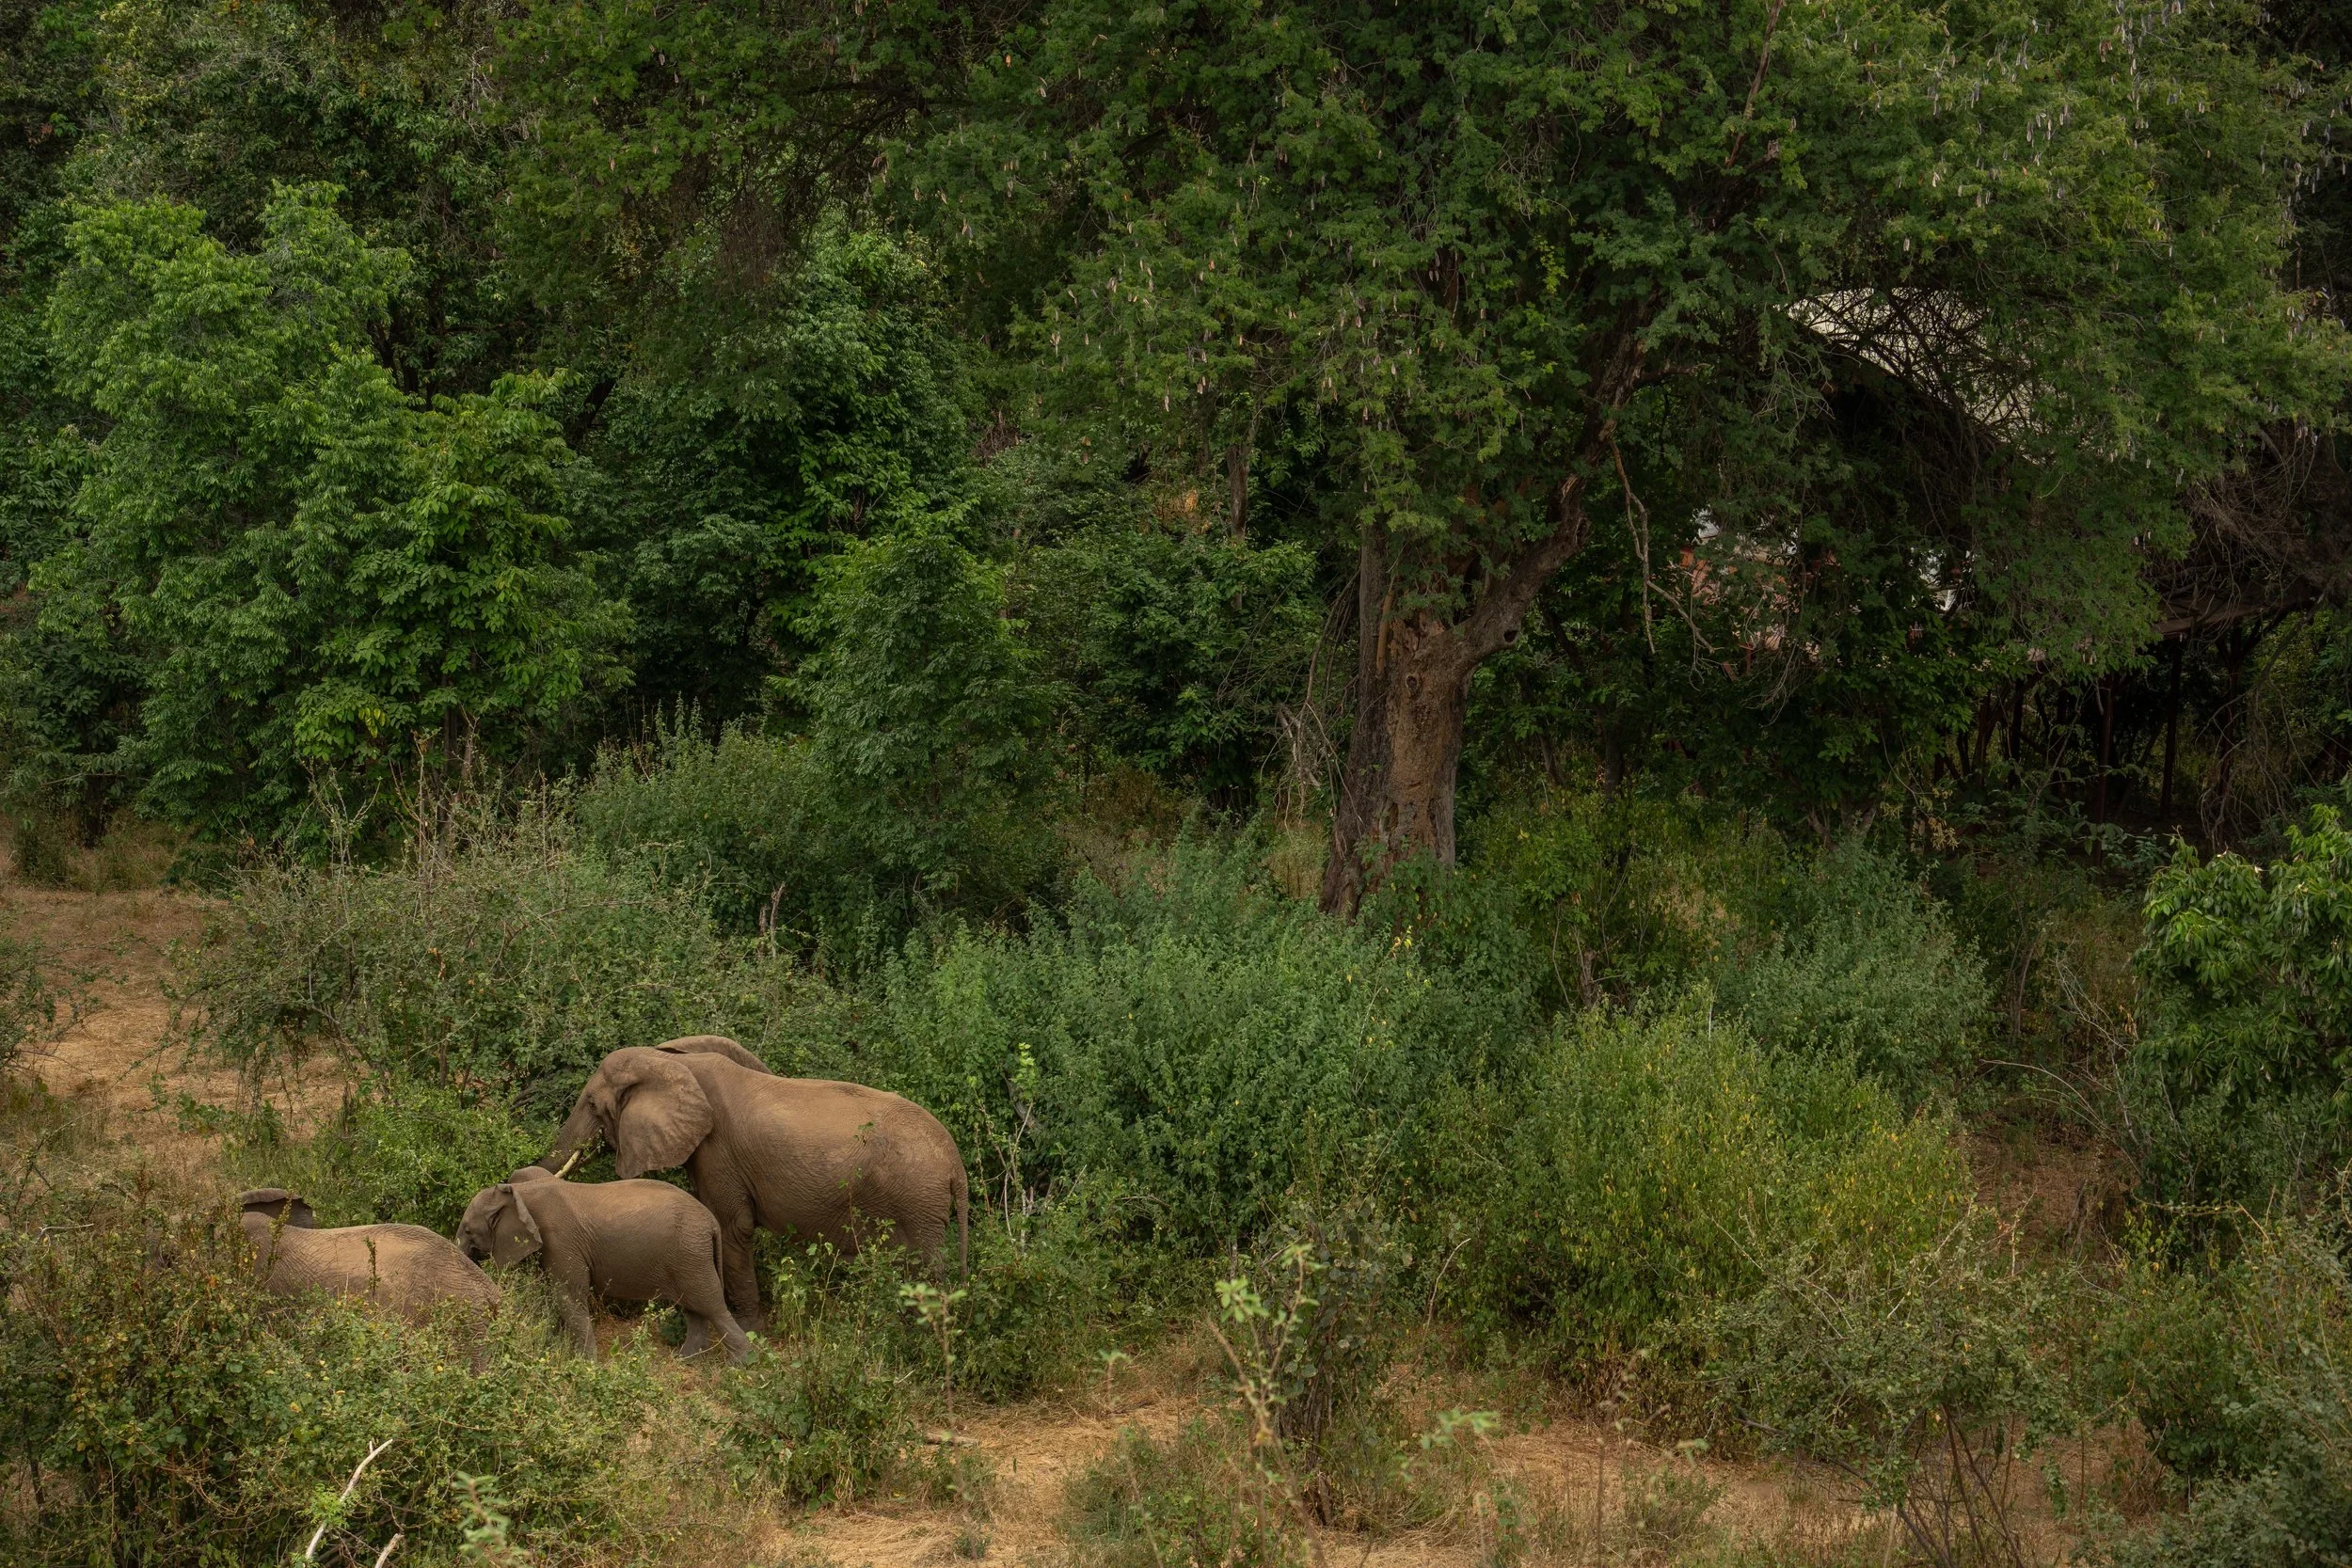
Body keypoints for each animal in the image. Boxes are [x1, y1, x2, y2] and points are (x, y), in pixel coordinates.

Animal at [455, 1166, 752, 1363]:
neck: (520, 1194)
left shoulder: (560, 1241)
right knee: (694, 1307)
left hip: (690, 1254)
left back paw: (742, 1366)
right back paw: (685, 1360)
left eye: (468, 1231)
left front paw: (584, 1365)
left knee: (710, 1304)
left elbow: (567, 1296)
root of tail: (711, 1221)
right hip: (688, 1257)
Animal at [538, 1040, 969, 1330]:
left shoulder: (719, 1153)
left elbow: (732, 1228)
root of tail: (956, 1165)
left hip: (916, 1203)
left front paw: (749, 1331)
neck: (673, 1063)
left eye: (592, 1105)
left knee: (923, 1268)